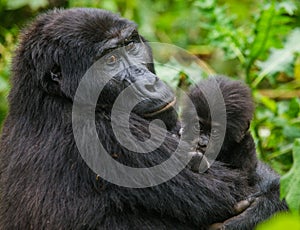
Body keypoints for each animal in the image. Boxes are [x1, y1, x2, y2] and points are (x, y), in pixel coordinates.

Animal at [0, 8, 286, 229]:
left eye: (130, 45)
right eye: (110, 60)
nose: (147, 81)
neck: (51, 97)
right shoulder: (112, 136)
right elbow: (240, 190)